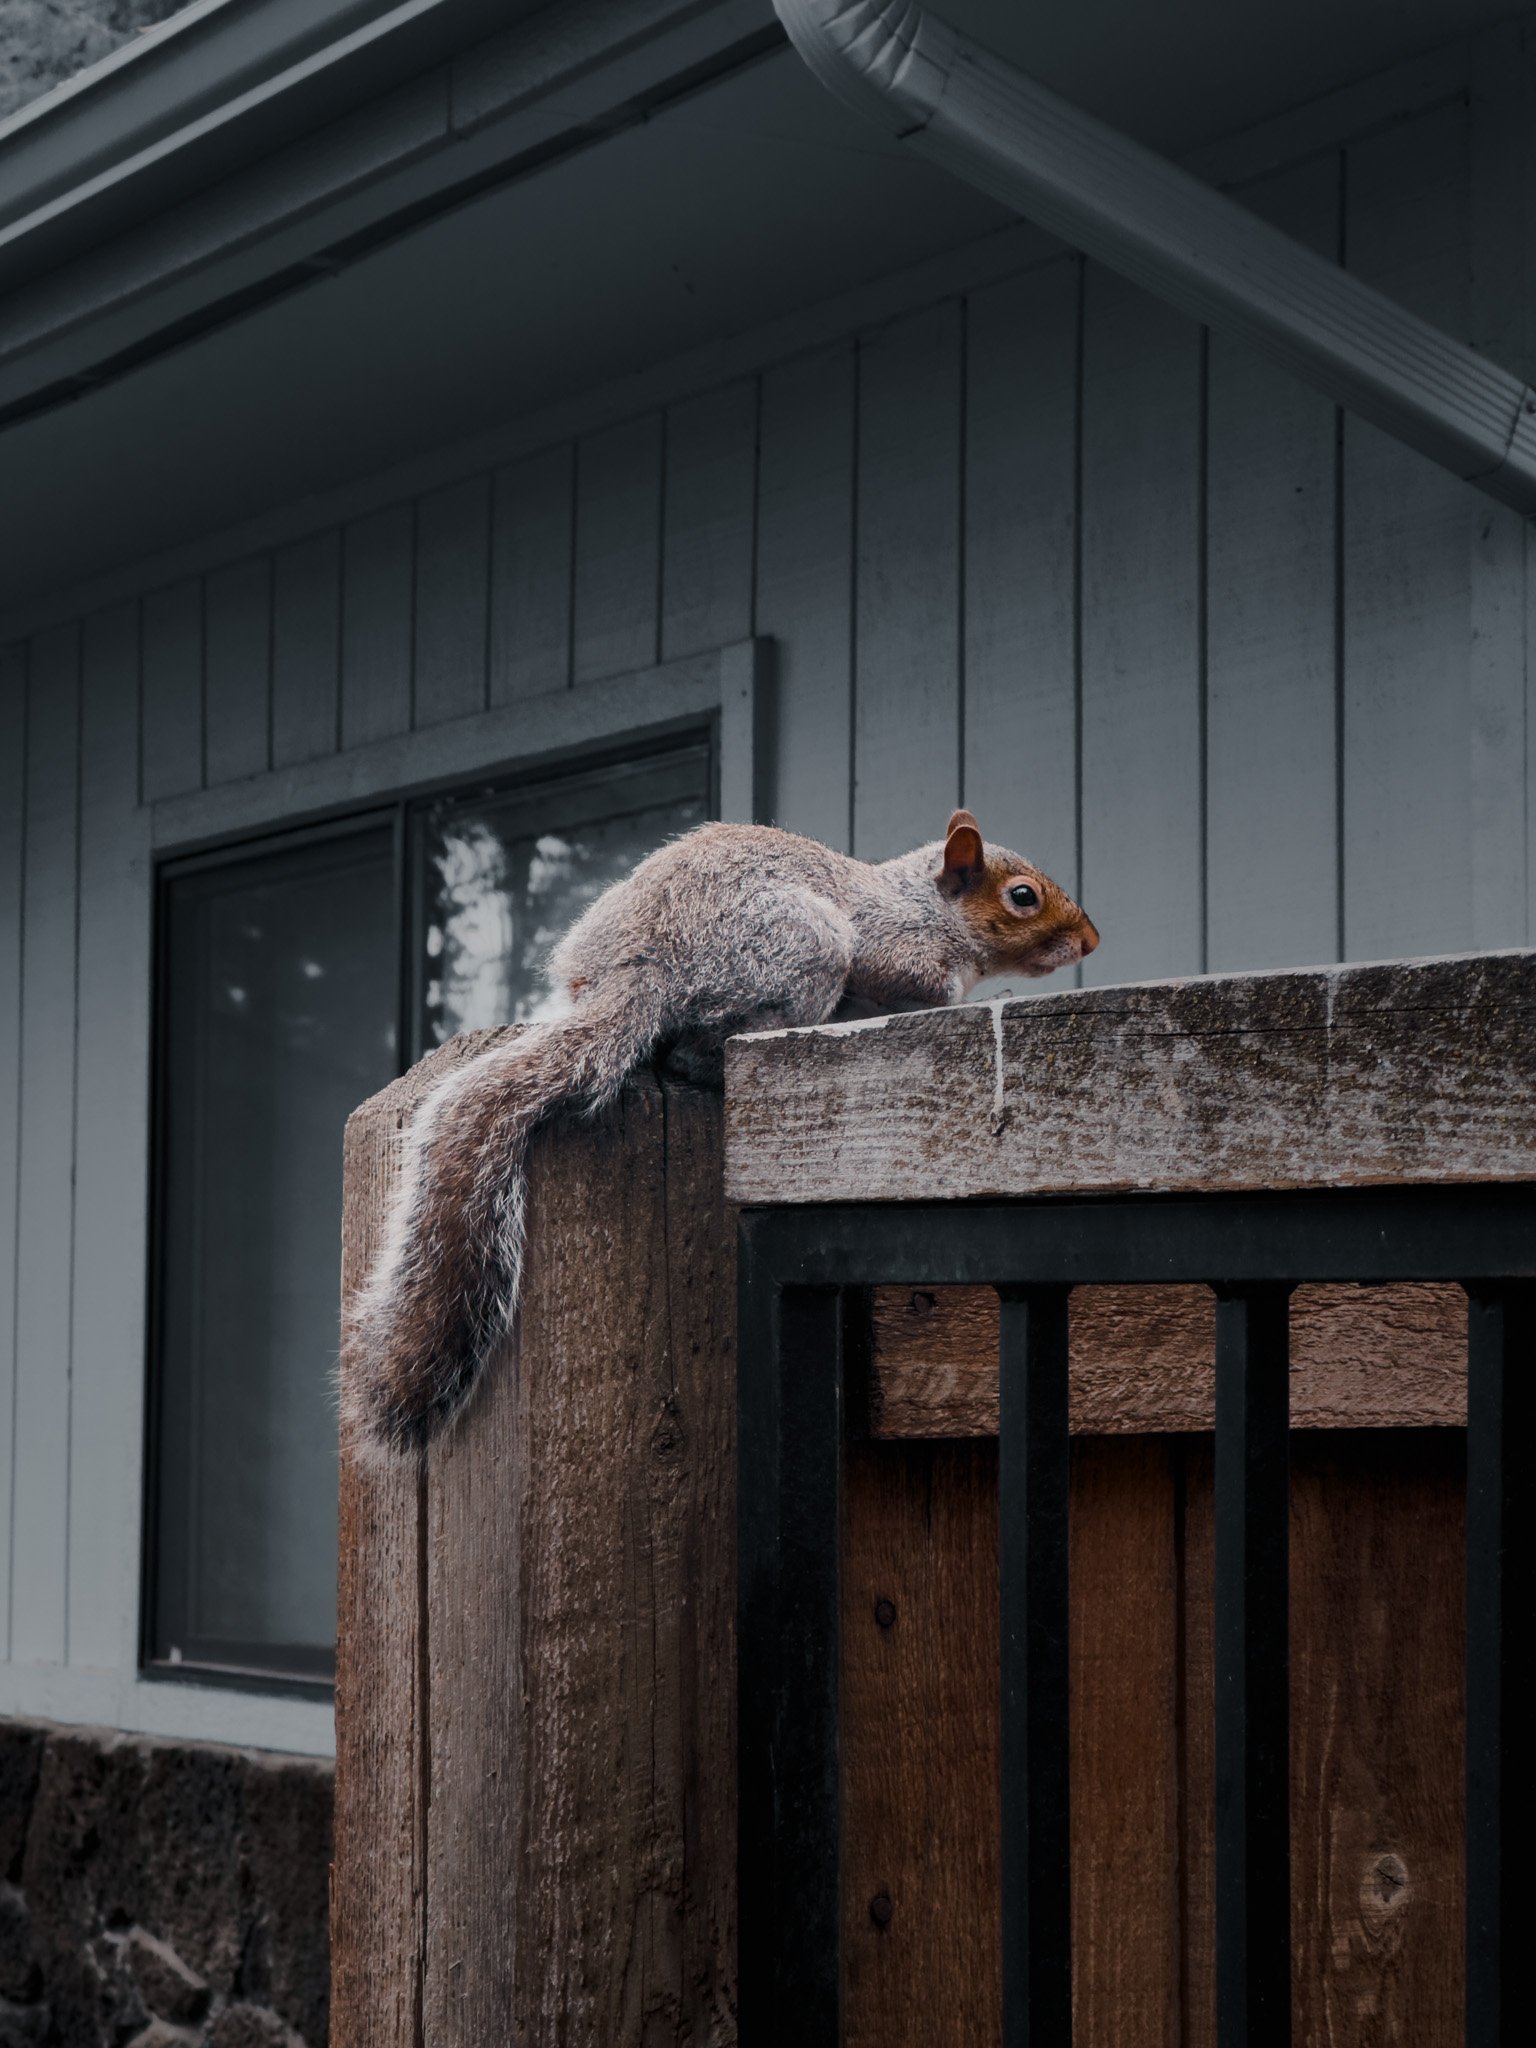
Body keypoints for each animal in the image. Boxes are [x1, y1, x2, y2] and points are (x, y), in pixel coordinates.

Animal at [345, 809, 1098, 1457]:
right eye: (1023, 897)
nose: (1090, 940)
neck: (926, 903)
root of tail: (647, 963)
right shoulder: (897, 951)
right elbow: (915, 985)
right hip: (803, 950)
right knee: (693, 1052)